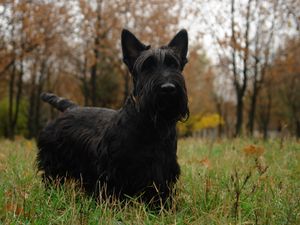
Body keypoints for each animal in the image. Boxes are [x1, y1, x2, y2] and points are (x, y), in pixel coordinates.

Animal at [36, 29, 189, 206]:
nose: (168, 88)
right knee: (52, 177)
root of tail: (72, 108)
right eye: (147, 66)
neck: (151, 125)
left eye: (174, 65)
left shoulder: (163, 170)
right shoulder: (113, 170)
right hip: (53, 160)